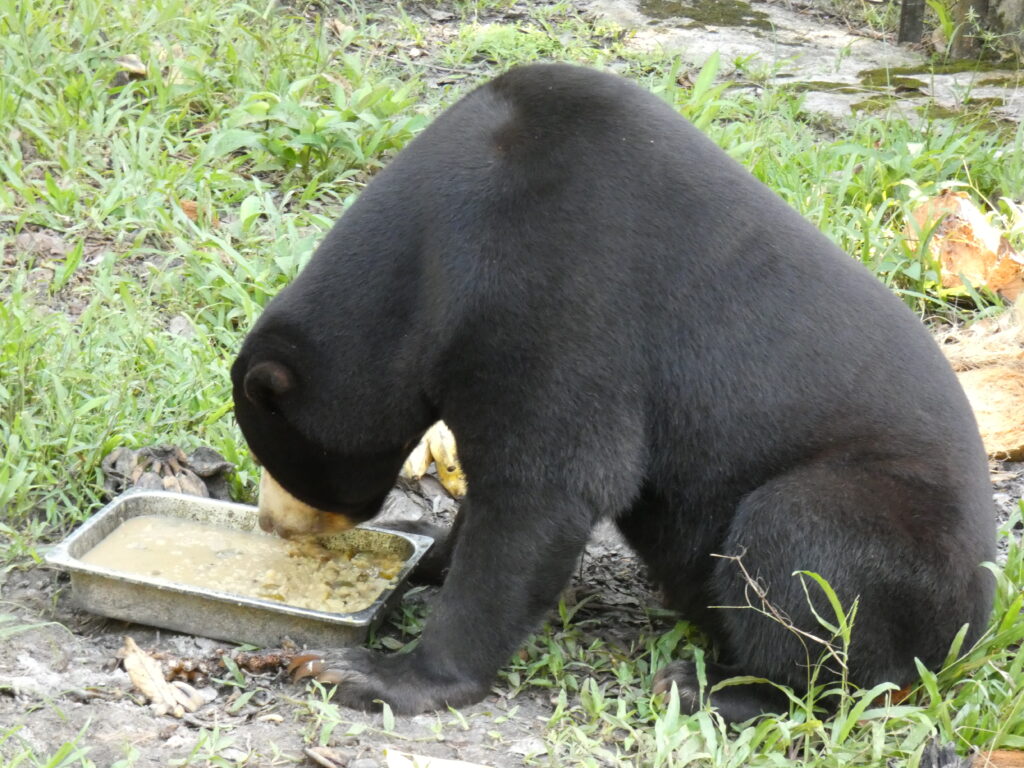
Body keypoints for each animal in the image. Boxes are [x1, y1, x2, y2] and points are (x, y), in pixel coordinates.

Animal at [231, 63, 996, 722]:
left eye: (277, 458)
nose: (272, 525)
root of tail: (976, 623)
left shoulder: (555, 287)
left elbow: (546, 492)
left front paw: (373, 674)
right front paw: (428, 552)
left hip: (887, 528)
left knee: (804, 561)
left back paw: (709, 686)